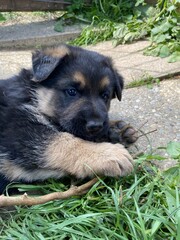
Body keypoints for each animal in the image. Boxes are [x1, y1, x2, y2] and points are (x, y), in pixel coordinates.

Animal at [0, 45, 136, 194]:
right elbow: (61, 141)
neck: (34, 97)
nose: (96, 126)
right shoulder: (17, 131)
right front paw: (108, 153)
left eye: (105, 95)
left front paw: (116, 129)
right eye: (71, 91)